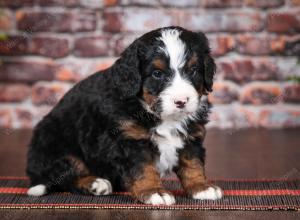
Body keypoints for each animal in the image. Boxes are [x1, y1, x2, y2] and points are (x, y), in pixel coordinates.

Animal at [26, 26, 223, 205]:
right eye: (157, 74)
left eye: (193, 70)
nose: (181, 101)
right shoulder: (129, 140)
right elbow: (143, 168)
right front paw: (154, 191)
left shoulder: (192, 135)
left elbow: (193, 163)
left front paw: (201, 187)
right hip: (55, 145)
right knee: (66, 175)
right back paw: (95, 183)